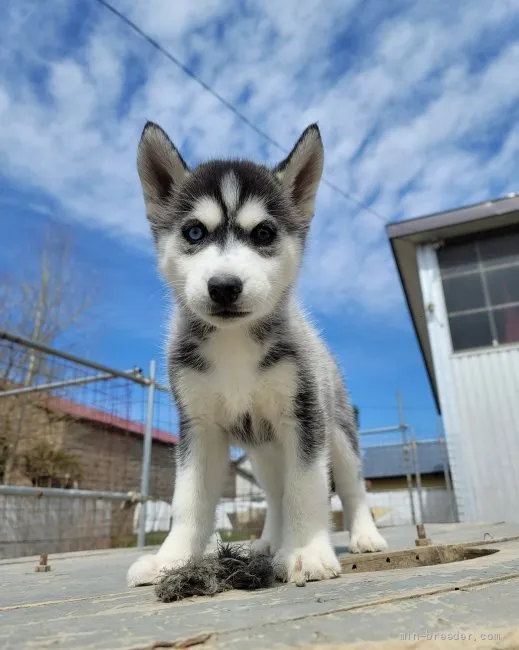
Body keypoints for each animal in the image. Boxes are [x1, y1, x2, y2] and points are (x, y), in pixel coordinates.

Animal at [127, 121, 386, 588]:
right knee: (275, 494)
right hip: (263, 454)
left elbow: (307, 489)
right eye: (194, 232)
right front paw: (169, 560)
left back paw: (364, 536)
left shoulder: (304, 419)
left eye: (263, 233)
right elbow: (188, 500)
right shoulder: (199, 428)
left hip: (337, 433)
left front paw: (306, 552)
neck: (234, 343)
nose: (224, 286)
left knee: (351, 487)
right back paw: (269, 543)